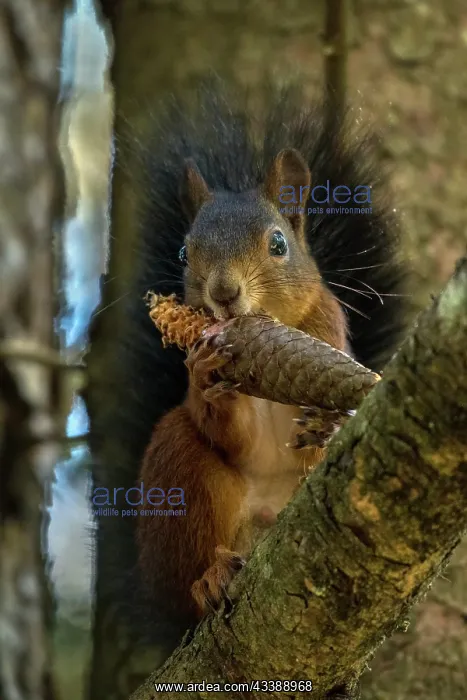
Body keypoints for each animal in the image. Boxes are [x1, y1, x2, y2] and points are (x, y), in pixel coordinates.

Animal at [88, 79, 409, 659]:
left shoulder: (328, 333)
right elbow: (228, 433)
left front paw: (329, 424)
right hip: (180, 476)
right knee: (190, 577)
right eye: (184, 251)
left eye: (278, 243)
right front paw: (210, 381)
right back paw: (209, 581)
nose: (223, 292)